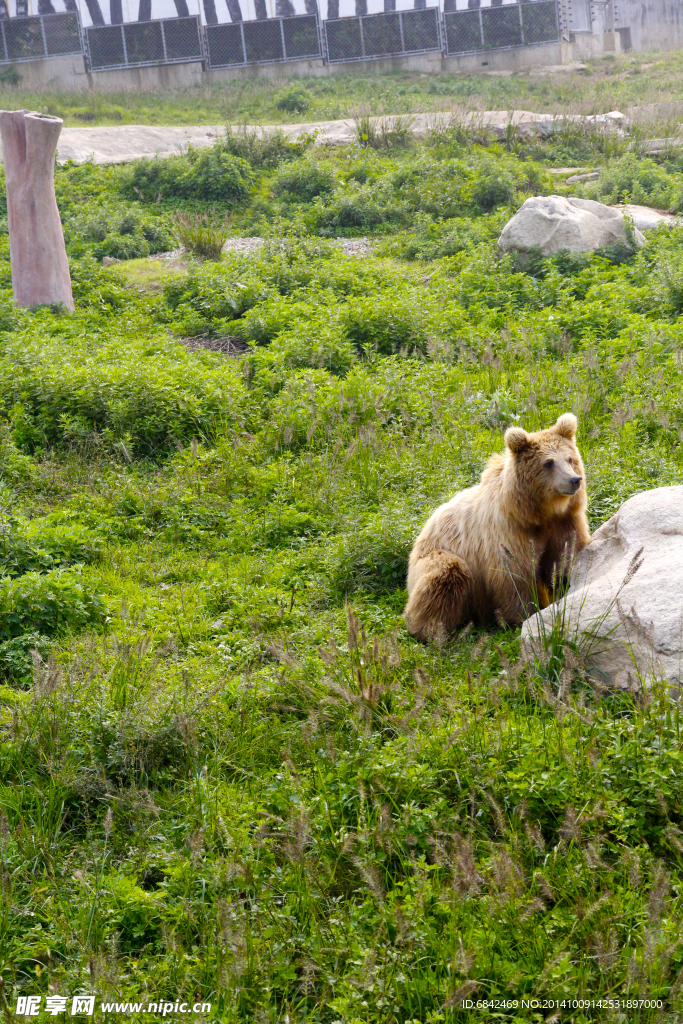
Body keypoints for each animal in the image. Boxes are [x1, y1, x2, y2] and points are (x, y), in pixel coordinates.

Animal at [403, 409, 589, 634]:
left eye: (570, 458)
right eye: (548, 463)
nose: (574, 480)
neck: (537, 513)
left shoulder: (563, 523)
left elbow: (564, 559)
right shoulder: (507, 533)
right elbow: (513, 577)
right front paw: (525, 617)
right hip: (437, 556)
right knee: (446, 577)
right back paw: (431, 630)